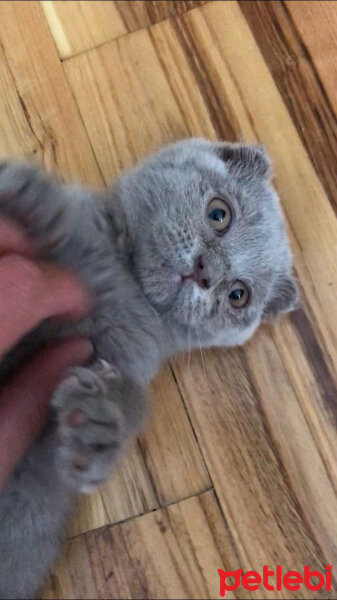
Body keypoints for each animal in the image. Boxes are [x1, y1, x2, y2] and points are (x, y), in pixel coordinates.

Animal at [0, 138, 296, 596]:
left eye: (238, 295)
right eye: (219, 213)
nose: (205, 272)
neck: (127, 285)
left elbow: (104, 418)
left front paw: (99, 420)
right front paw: (36, 204)